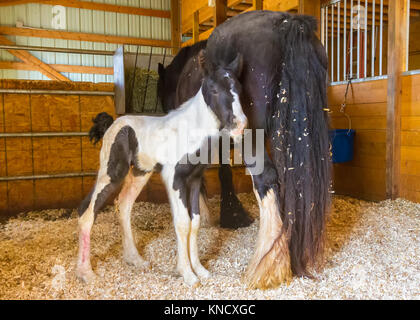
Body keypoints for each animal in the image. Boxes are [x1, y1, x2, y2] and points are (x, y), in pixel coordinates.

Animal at [76, 51, 246, 286]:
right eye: (214, 89)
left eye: (239, 88)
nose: (240, 124)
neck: (189, 130)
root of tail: (111, 125)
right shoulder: (174, 178)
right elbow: (183, 222)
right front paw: (187, 274)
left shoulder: (194, 180)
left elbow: (195, 222)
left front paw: (200, 270)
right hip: (112, 173)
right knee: (87, 211)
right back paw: (86, 273)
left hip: (140, 173)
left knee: (124, 205)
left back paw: (134, 259)